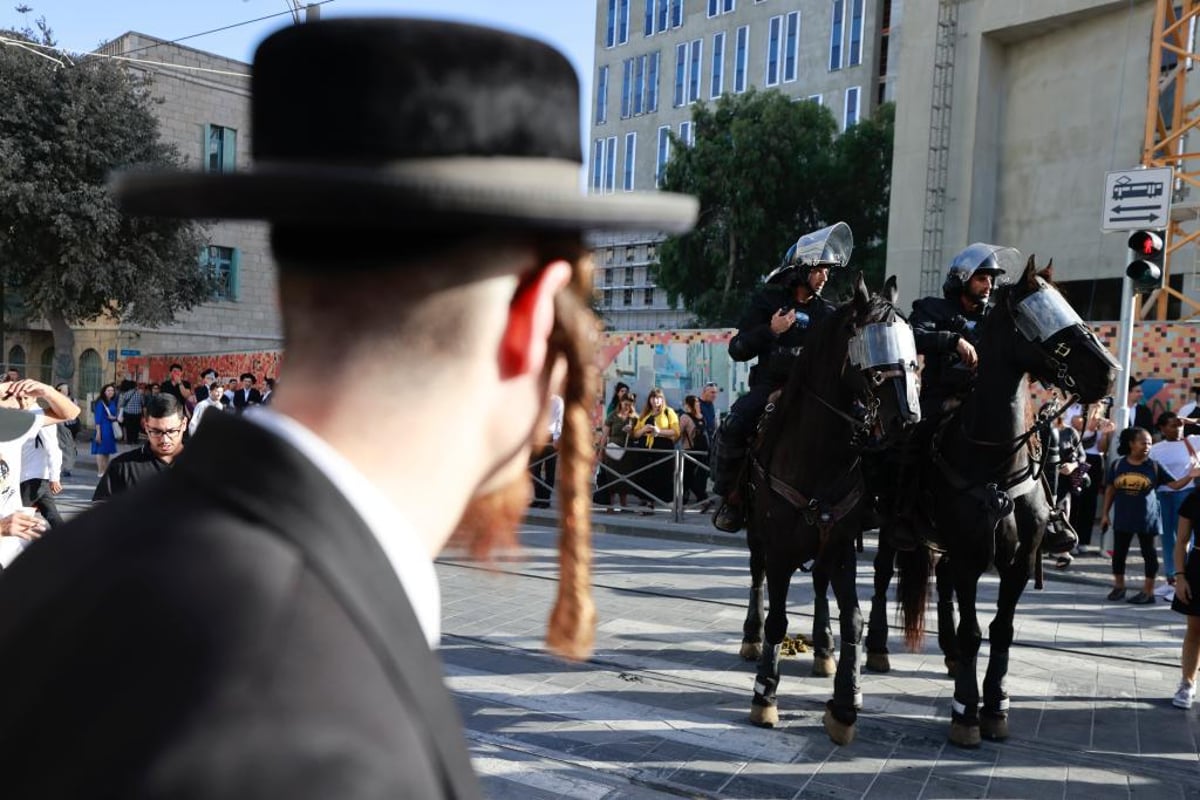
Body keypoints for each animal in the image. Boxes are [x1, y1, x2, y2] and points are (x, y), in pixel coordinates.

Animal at [892, 260, 1113, 748]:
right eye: (1035, 316)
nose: (1108, 373)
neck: (994, 460)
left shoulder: (1019, 561)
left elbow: (1002, 630)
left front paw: (995, 705)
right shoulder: (972, 557)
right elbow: (975, 630)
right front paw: (965, 711)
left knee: (944, 583)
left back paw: (951, 656)